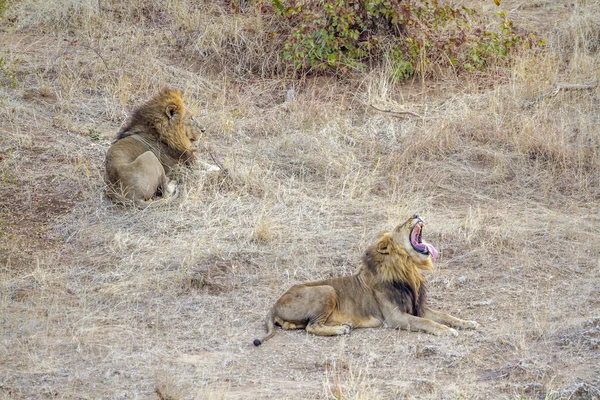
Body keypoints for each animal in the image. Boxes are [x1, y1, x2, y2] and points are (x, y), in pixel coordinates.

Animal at [253, 214, 478, 346]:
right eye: (401, 225)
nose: (416, 214)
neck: (409, 269)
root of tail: (274, 304)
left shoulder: (417, 307)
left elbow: (445, 315)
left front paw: (467, 323)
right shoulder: (396, 317)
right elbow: (426, 322)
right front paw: (447, 331)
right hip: (327, 289)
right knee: (311, 326)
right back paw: (342, 328)